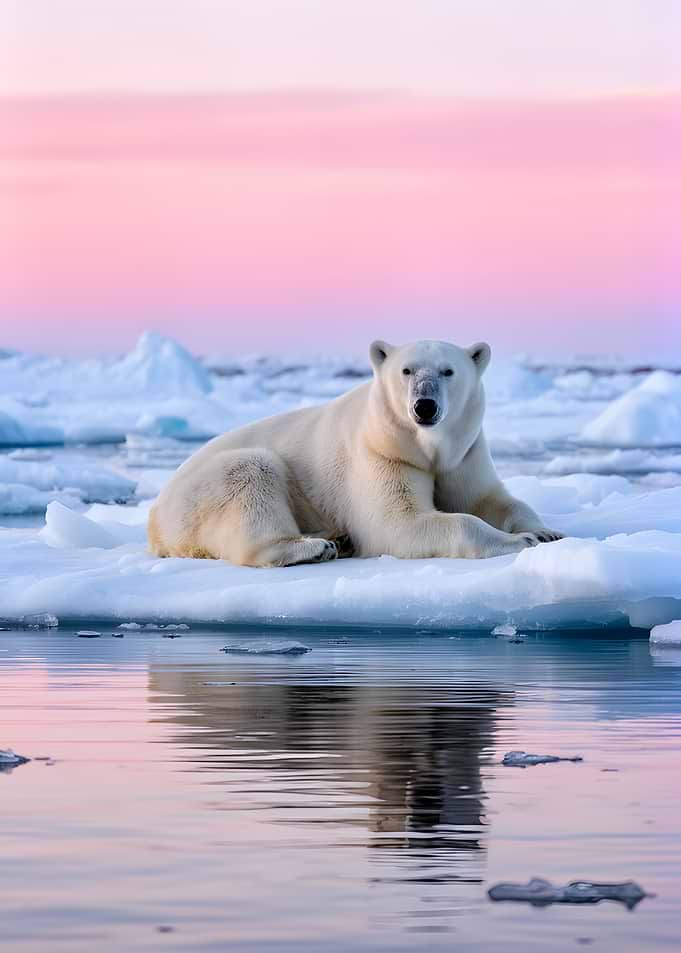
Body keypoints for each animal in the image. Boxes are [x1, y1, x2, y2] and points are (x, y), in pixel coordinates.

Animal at [148, 338, 562, 567]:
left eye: (448, 371)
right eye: (407, 371)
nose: (424, 407)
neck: (424, 447)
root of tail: (155, 515)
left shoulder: (464, 455)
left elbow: (489, 499)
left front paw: (545, 533)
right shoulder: (382, 454)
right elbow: (399, 523)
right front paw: (518, 542)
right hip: (204, 492)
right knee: (251, 473)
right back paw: (314, 547)